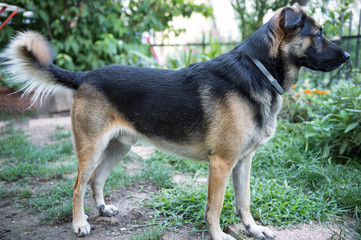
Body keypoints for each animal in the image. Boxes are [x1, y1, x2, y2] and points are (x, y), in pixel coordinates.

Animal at [2, 6, 348, 240]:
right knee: (77, 186)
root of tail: (86, 75)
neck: (258, 70)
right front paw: (218, 235)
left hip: (119, 147)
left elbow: (244, 201)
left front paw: (253, 229)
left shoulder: (243, 161)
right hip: (91, 148)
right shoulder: (222, 163)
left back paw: (102, 210)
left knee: (96, 180)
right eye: (318, 34)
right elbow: (215, 206)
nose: (347, 56)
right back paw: (80, 223)